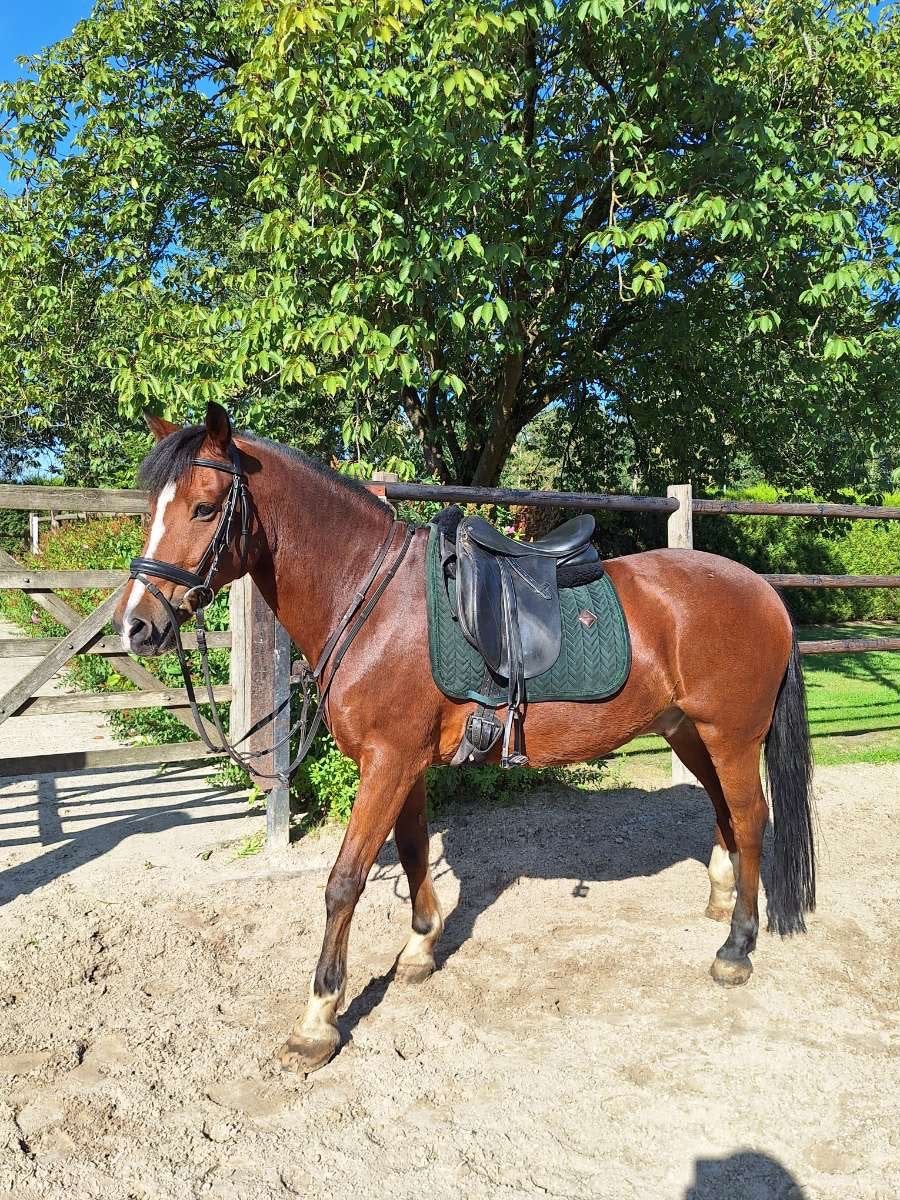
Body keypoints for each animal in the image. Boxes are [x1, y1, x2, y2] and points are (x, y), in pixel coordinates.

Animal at [114, 402, 815, 1074]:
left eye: (205, 507)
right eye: (153, 509)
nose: (137, 626)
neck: (372, 601)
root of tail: (764, 591)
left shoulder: (388, 762)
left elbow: (345, 881)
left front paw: (317, 1022)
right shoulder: (404, 763)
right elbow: (415, 850)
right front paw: (422, 946)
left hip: (731, 735)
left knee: (751, 818)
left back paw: (736, 947)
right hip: (690, 734)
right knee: (725, 813)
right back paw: (721, 901)